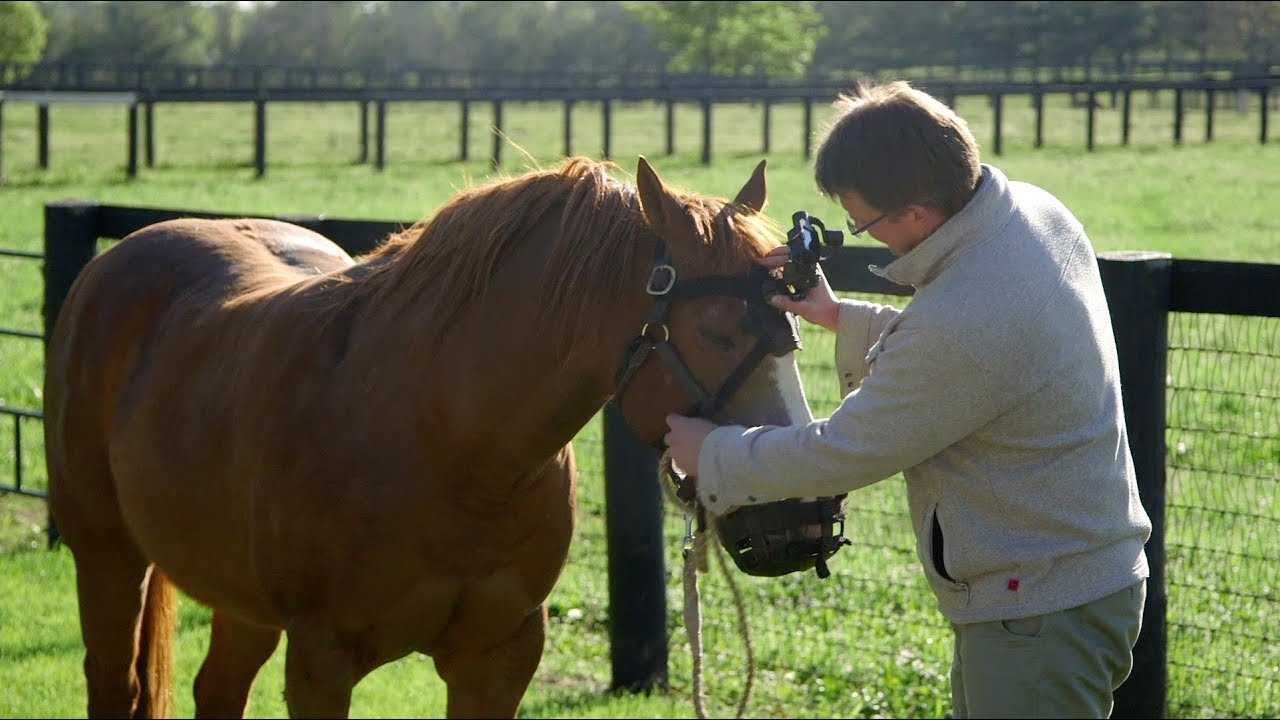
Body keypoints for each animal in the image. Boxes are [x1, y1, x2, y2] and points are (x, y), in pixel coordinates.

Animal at [43, 154, 815, 718]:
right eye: (718, 332)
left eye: (795, 329)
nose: (806, 510)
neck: (447, 441)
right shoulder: (322, 662)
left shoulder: (497, 658)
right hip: (107, 557)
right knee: (114, 684)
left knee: (218, 689)